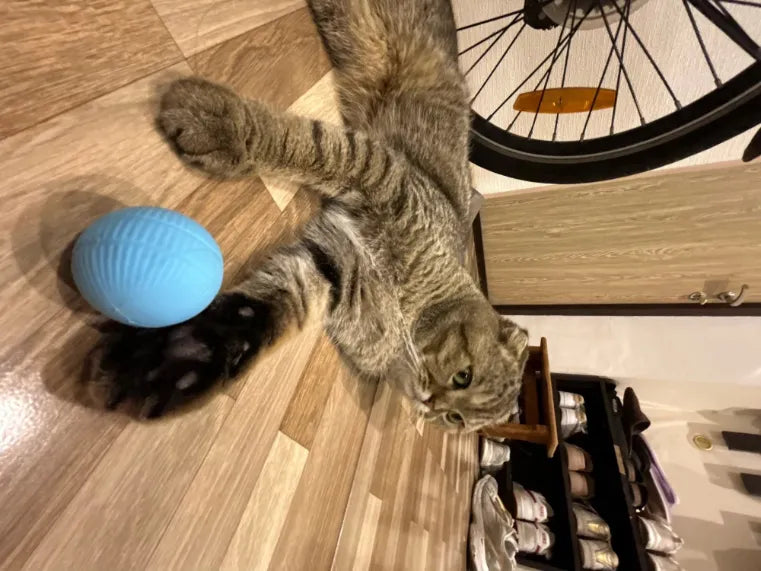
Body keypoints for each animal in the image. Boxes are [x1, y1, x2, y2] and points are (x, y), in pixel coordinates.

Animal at [90, 0, 530, 430]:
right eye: (463, 376)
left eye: (455, 419)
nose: (431, 405)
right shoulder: (383, 174)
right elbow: (313, 147)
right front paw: (226, 127)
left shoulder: (333, 264)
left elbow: (259, 313)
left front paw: (186, 355)